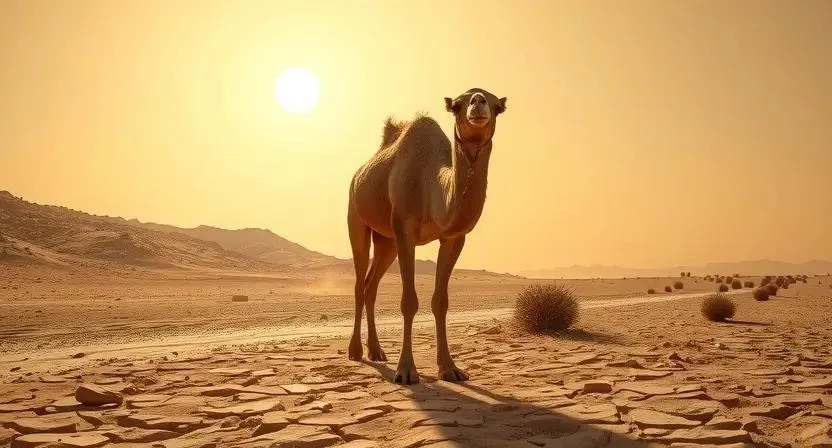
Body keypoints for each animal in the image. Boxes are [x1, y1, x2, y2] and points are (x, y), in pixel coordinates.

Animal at [346, 88, 507, 384]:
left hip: (386, 241)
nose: (478, 102)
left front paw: (450, 368)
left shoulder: (454, 237)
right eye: (457, 105)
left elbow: (440, 301)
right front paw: (406, 371)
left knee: (370, 285)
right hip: (357, 218)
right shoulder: (404, 229)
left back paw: (376, 351)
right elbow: (409, 301)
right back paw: (355, 351)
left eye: (497, 106)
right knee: (358, 281)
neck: (432, 186)